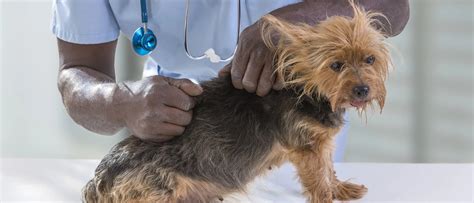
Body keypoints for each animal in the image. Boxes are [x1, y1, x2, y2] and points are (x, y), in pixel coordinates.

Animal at [83, 1, 390, 203]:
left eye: (369, 59)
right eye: (336, 65)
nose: (362, 90)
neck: (310, 90)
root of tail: (99, 180)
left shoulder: (320, 144)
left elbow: (329, 168)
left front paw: (340, 189)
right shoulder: (307, 147)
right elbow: (318, 176)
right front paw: (327, 195)